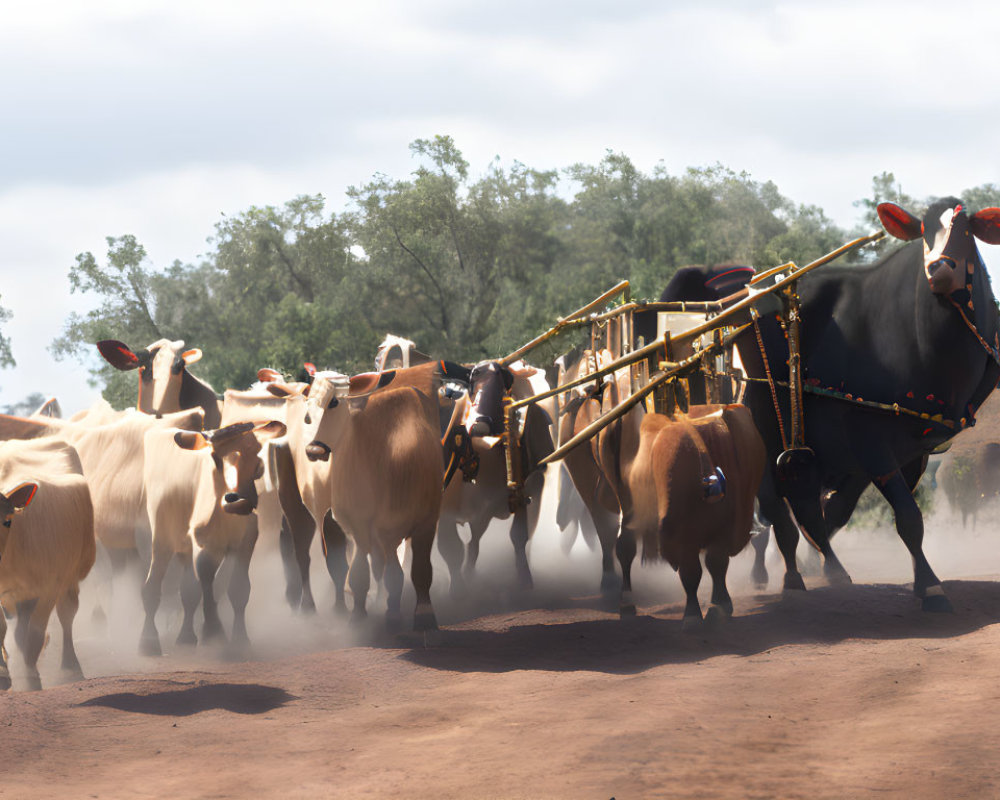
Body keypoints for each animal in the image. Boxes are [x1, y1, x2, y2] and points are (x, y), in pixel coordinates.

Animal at [0, 434, 95, 692]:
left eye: (7, 521)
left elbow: (32, 634)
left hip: (69, 578)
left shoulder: (46, 587)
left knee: (65, 616)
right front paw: (4, 672)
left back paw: (70, 668)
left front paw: (31, 677)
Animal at [139, 418, 286, 656]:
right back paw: (148, 641)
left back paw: (186, 636)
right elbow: (207, 583)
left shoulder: (245, 543)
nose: (236, 499)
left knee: (187, 590)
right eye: (216, 457)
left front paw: (240, 640)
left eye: (256, 456)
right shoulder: (203, 544)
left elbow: (238, 589)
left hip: (184, 548)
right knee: (152, 587)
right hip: (162, 538)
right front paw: (213, 631)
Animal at [736, 200, 1000, 612]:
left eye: (967, 231)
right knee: (776, 515)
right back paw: (789, 578)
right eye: (924, 231)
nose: (939, 268)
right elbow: (908, 517)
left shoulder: (907, 452)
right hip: (766, 439)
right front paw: (931, 587)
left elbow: (841, 512)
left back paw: (825, 570)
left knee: (804, 511)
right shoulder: (869, 441)